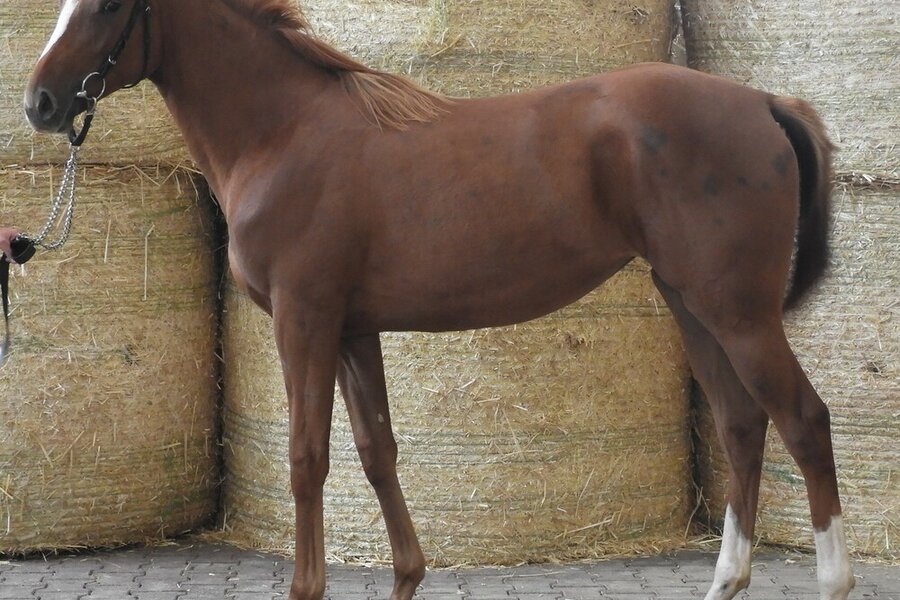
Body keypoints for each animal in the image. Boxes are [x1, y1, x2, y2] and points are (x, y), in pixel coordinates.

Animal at [23, 1, 855, 599]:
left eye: (105, 4)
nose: (39, 102)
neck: (285, 132)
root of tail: (763, 100)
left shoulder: (305, 321)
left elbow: (307, 457)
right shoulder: (353, 331)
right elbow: (377, 452)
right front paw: (407, 574)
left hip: (738, 313)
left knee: (805, 420)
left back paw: (834, 578)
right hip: (693, 304)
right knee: (743, 425)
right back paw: (726, 579)